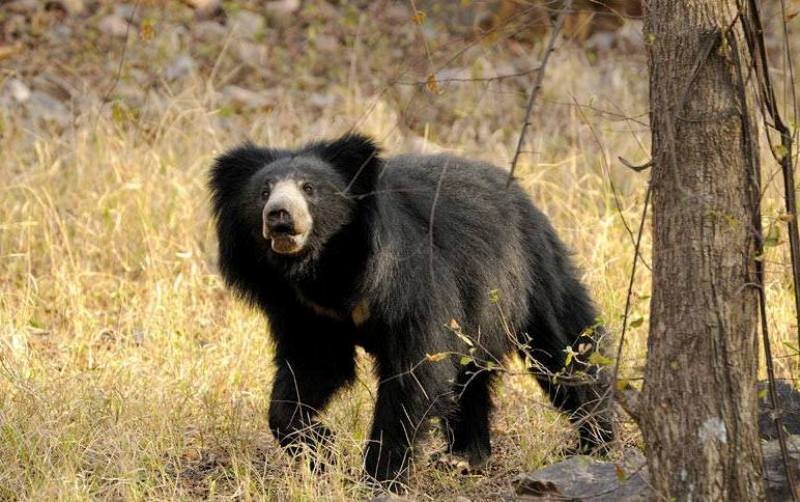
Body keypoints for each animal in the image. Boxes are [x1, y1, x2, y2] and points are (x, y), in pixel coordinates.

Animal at [208, 133, 614, 488]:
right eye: (263, 192)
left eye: (310, 189)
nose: (279, 215)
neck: (325, 268)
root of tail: (519, 193)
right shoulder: (305, 310)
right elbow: (313, 367)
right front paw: (323, 449)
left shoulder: (410, 280)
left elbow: (415, 371)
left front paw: (379, 476)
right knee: (470, 375)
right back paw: (465, 456)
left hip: (529, 271)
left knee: (564, 347)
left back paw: (597, 442)